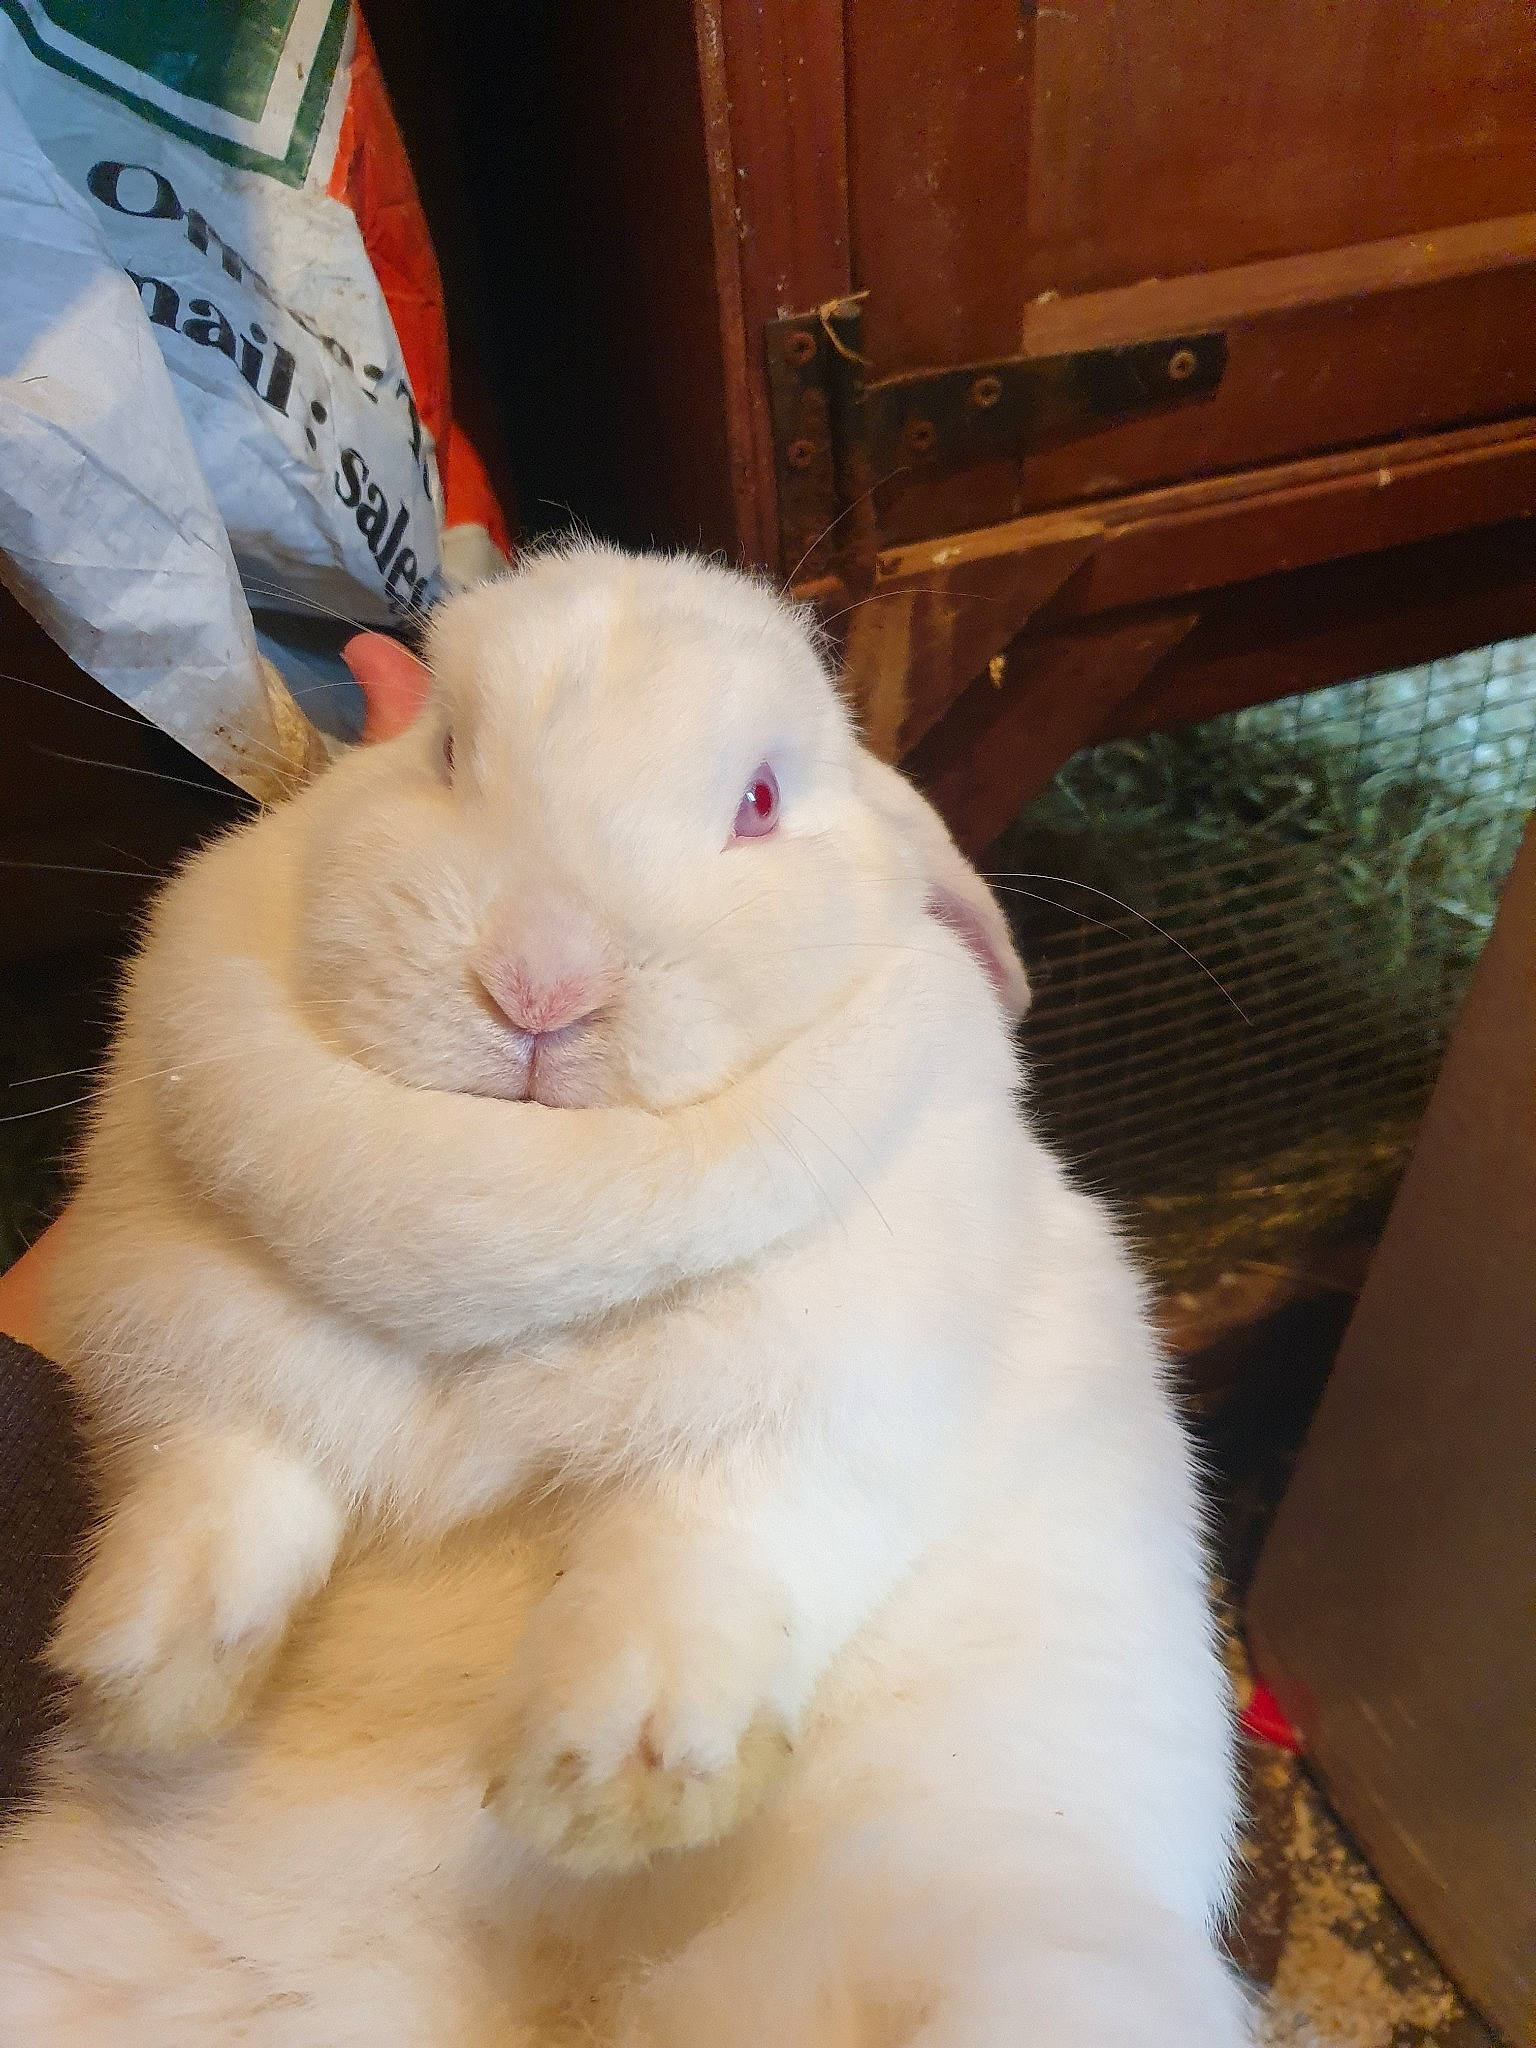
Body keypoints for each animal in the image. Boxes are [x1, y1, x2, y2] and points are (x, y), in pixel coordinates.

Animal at [4, 543, 1251, 2042]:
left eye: (760, 802)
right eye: (446, 749)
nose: (541, 983)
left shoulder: (813, 1421)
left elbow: (688, 1563)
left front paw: (610, 1789)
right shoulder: (190, 1354)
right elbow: (217, 1494)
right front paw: (145, 1677)